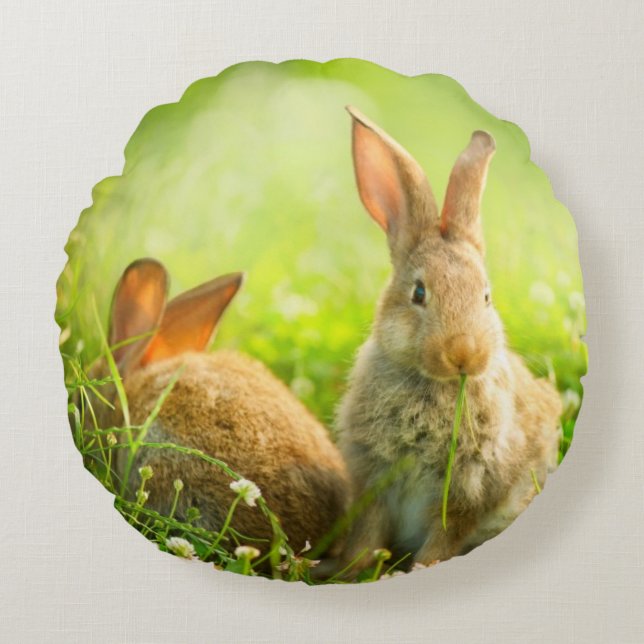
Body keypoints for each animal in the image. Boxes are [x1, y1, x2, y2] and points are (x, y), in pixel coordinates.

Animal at [335, 107, 562, 574]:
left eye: (486, 297)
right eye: (419, 293)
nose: (465, 353)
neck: (435, 387)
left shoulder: (467, 492)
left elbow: (444, 538)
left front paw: (418, 570)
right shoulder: (373, 480)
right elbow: (367, 531)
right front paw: (353, 568)